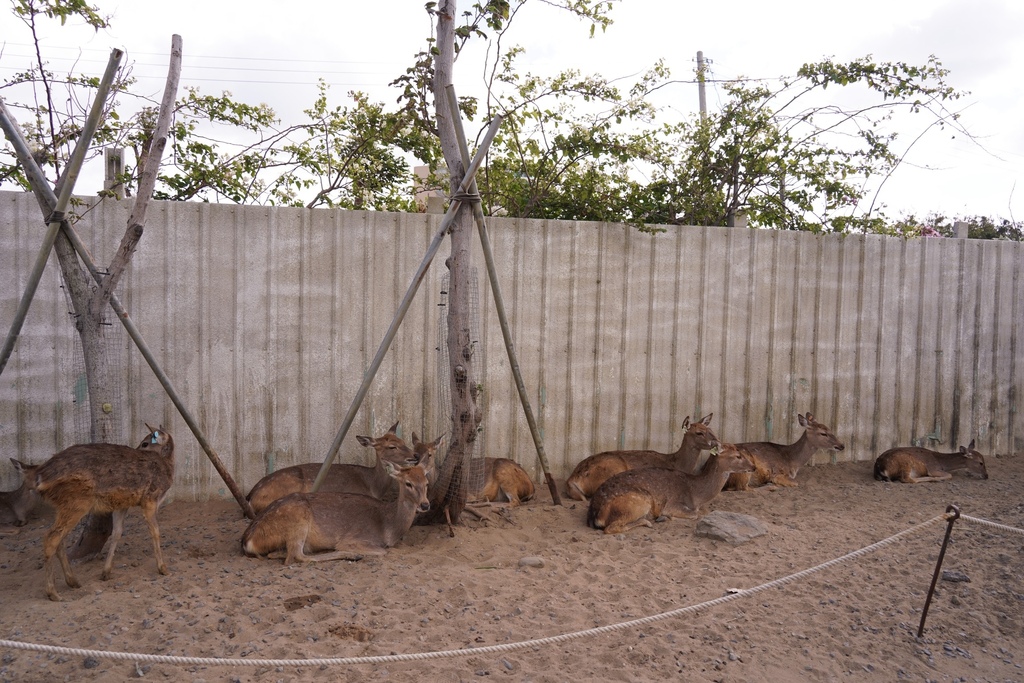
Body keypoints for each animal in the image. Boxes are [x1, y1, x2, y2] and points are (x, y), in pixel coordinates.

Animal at [24, 428, 176, 602]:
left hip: (63, 505)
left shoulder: (122, 504)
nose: (137, 449)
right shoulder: (150, 499)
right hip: (77, 501)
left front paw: (105, 573)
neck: (168, 468)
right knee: (51, 537)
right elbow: (155, 532)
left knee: (59, 540)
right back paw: (53, 592)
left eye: (145, 443)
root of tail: (40, 477)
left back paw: (73, 581)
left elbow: (117, 533)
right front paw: (163, 568)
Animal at [241, 440, 438, 565]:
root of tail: (248, 540)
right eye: (408, 483)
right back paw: (351, 555)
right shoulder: (357, 537)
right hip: (297, 520)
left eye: (426, 483)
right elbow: (383, 551)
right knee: (296, 556)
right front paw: (351, 552)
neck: (388, 527)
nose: (425, 505)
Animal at [585, 440, 753, 536]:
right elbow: (694, 514)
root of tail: (595, 515)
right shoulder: (673, 504)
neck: (695, 494)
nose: (753, 467)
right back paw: (647, 521)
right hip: (639, 500)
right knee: (611, 528)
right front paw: (667, 517)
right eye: (738, 456)